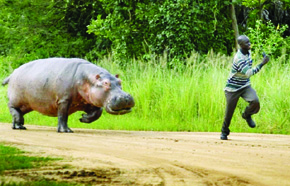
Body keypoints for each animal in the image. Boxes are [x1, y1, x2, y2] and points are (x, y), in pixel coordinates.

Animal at [1, 57, 135, 132]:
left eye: (120, 81)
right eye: (106, 83)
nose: (125, 97)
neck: (87, 79)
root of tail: (12, 74)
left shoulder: (87, 101)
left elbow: (98, 112)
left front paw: (83, 118)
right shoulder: (64, 100)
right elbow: (62, 116)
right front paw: (66, 130)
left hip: (28, 105)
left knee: (18, 113)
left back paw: (18, 126)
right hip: (17, 100)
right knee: (11, 107)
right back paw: (20, 124)